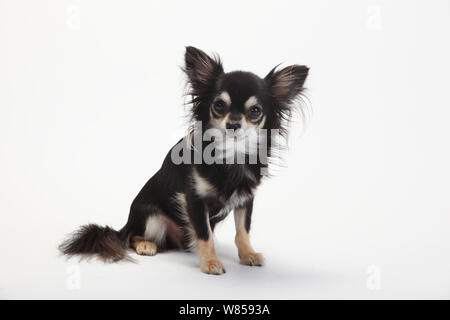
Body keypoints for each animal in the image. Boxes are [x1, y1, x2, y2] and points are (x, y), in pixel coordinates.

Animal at [59, 47, 310, 276]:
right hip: (152, 218)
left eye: (255, 111)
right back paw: (145, 244)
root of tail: (126, 224)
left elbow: (243, 231)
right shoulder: (194, 199)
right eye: (219, 105)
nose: (233, 124)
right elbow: (205, 234)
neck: (230, 156)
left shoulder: (245, 199)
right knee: (132, 237)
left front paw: (248, 254)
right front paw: (210, 262)